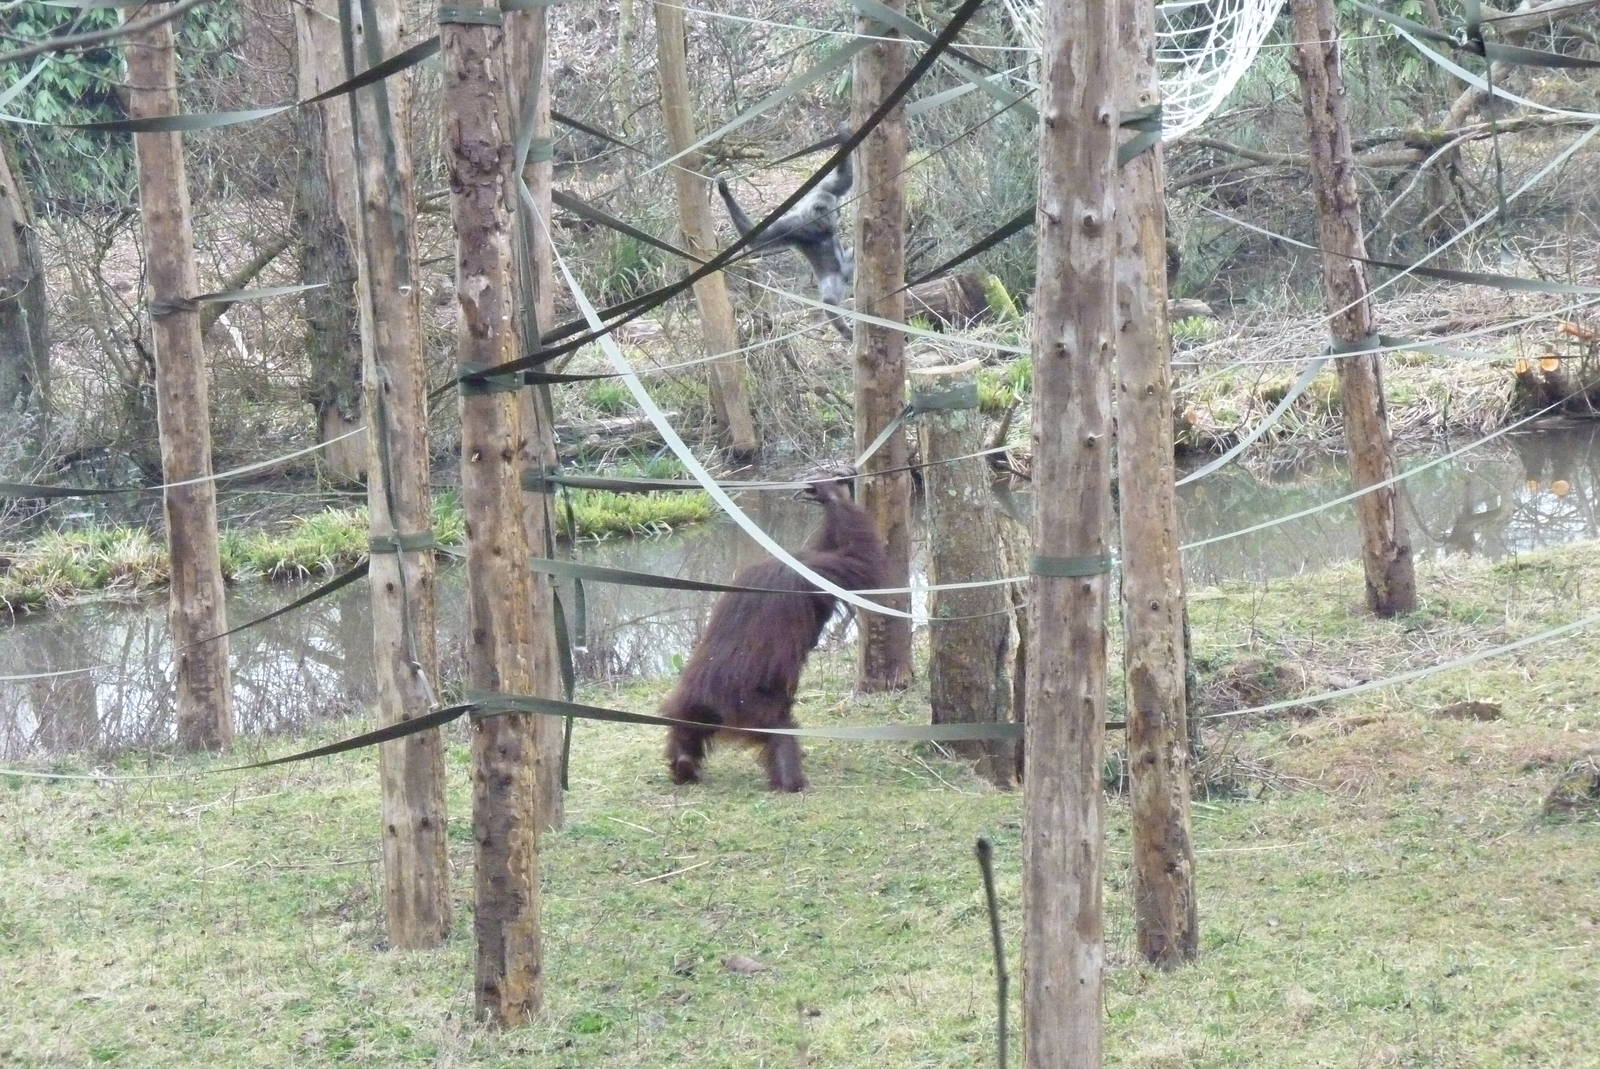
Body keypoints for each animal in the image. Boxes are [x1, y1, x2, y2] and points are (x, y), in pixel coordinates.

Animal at [661, 466, 889, 792]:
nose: (815, 636)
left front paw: (824, 493)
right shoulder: (822, 574)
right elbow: (859, 556)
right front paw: (833, 492)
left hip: (693, 696)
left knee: (685, 720)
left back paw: (683, 763)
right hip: (755, 707)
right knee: (781, 730)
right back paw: (791, 780)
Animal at [716, 125, 856, 341]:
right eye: (836, 212)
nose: (838, 217)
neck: (814, 224)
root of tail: (846, 277)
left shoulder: (822, 191)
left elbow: (843, 181)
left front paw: (844, 136)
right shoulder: (793, 226)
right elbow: (761, 239)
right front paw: (725, 192)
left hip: (848, 270)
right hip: (836, 278)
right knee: (831, 301)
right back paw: (846, 330)